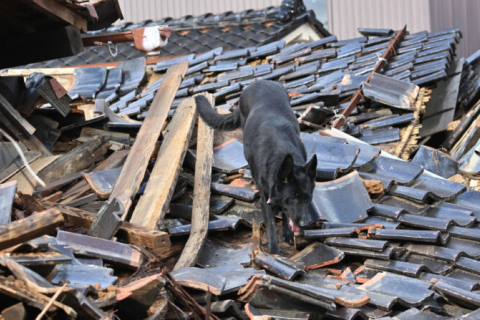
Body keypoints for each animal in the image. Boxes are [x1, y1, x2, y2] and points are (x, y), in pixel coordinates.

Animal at [193, 79, 316, 252]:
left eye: (308, 198)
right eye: (293, 197)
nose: (305, 224)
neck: (281, 152)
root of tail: (259, 81)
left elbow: (285, 212)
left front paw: (286, 232)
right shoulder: (267, 198)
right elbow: (271, 226)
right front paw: (273, 251)